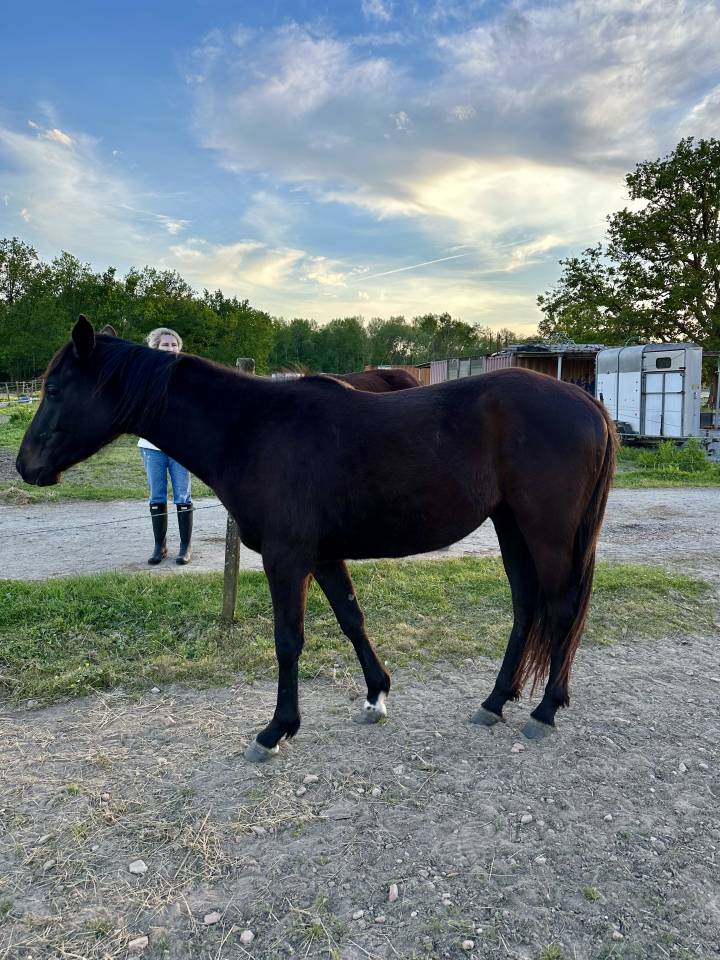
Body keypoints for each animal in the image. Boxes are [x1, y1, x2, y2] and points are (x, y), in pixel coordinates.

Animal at [17, 317, 616, 762]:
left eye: (55, 389)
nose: (25, 466)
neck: (254, 429)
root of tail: (587, 403)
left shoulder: (287, 559)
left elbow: (289, 640)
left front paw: (276, 729)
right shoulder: (323, 556)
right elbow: (352, 619)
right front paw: (376, 696)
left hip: (547, 532)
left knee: (561, 609)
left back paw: (544, 711)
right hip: (511, 525)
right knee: (526, 607)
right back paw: (495, 702)